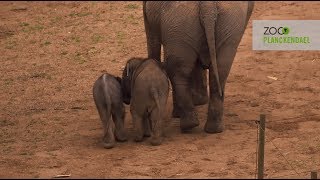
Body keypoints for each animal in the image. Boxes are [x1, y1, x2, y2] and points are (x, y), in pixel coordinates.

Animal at [144, 1, 254, 134]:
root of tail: (208, 7)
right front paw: (199, 101)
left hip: (181, 24)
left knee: (178, 71)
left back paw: (189, 124)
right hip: (224, 25)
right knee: (220, 70)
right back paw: (212, 129)